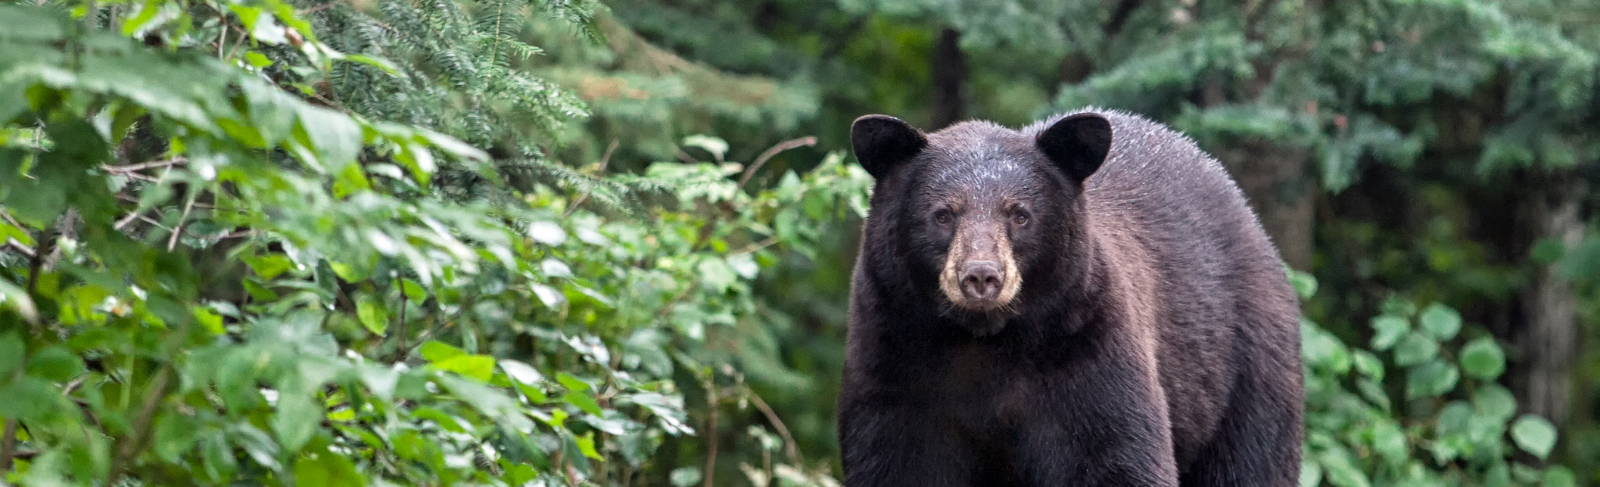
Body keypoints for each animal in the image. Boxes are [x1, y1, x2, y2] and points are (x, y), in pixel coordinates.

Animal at [836, 108, 1304, 487]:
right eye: (943, 214)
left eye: (1020, 214)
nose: (982, 276)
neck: (982, 341)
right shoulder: (894, 359)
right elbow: (897, 460)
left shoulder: (1087, 352)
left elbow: (1115, 454)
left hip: (1245, 367)